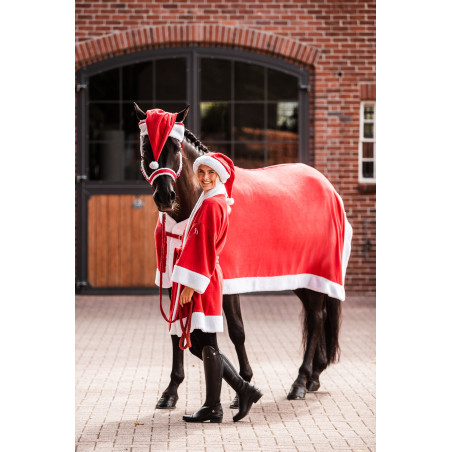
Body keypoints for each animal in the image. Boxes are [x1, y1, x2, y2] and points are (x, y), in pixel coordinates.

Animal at [133, 104, 342, 408]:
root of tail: (327, 185)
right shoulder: (174, 278)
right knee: (319, 314)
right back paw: (314, 376)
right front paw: (171, 391)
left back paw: (300, 382)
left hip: (317, 272)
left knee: (315, 317)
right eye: (145, 146)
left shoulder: (226, 282)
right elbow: (178, 332)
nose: (165, 196)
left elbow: (236, 331)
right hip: (302, 278)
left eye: (175, 146)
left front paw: (244, 384)